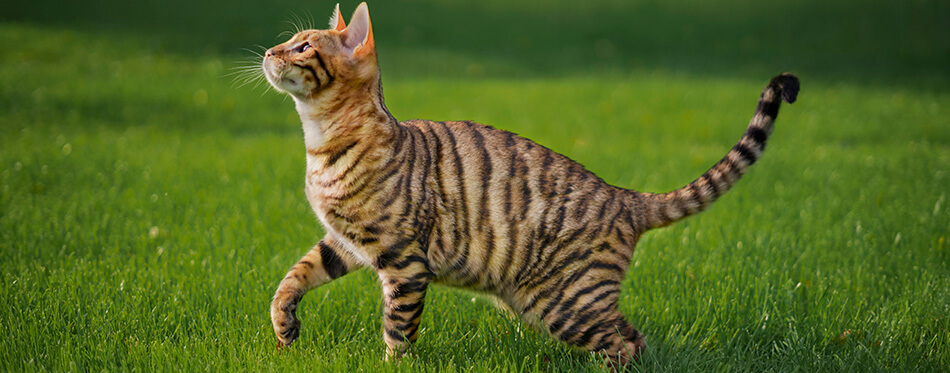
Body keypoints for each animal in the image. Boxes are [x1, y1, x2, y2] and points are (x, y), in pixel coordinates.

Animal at [262, 2, 804, 364]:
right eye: (290, 41)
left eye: (303, 46)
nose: (268, 51)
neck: (321, 145)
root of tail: (625, 197)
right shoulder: (344, 242)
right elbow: (290, 281)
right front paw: (285, 333)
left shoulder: (404, 262)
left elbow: (397, 332)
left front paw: (389, 364)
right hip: (555, 302)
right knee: (636, 337)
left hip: (566, 303)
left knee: (625, 345)